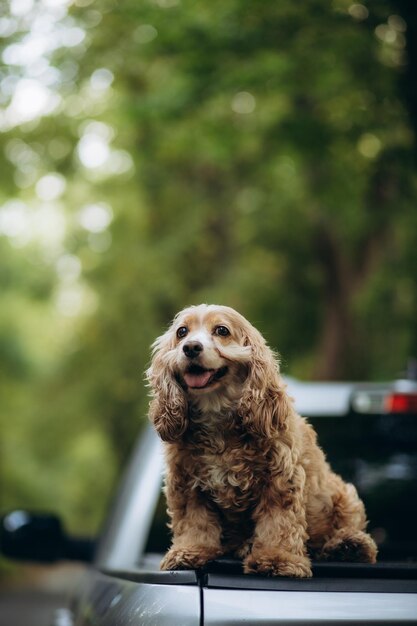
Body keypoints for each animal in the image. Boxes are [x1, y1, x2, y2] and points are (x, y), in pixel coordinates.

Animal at [146, 302, 376, 576]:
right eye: (182, 332)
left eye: (222, 330)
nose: (190, 347)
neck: (217, 417)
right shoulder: (187, 483)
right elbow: (194, 521)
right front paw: (190, 552)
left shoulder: (280, 479)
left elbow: (278, 523)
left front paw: (277, 559)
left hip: (345, 497)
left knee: (341, 532)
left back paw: (349, 546)